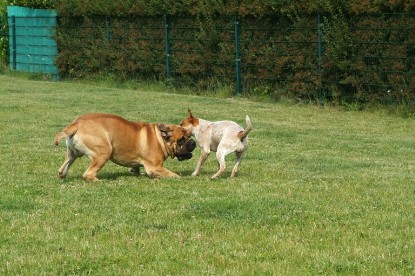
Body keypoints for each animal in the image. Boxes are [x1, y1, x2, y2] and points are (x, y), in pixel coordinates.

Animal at [54, 112, 197, 181]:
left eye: (190, 135)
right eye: (181, 140)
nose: (193, 143)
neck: (160, 139)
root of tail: (77, 123)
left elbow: (136, 168)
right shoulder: (155, 168)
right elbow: (173, 175)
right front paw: (179, 177)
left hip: (73, 153)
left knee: (64, 167)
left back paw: (62, 175)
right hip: (104, 152)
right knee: (88, 174)